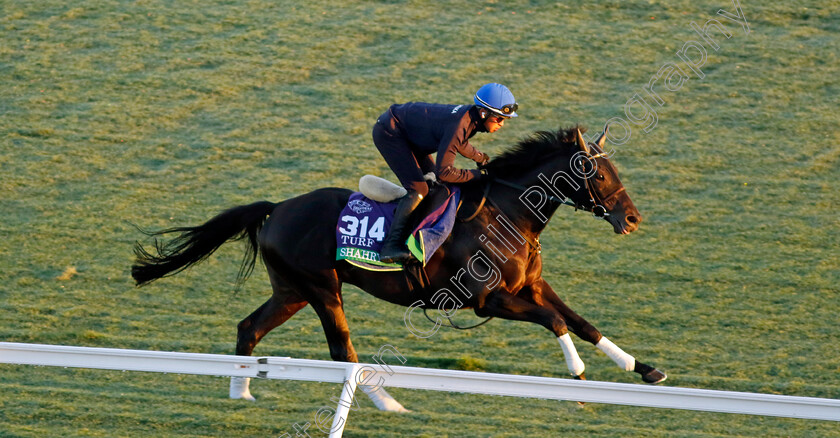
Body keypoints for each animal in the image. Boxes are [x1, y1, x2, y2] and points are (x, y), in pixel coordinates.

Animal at [131, 126, 668, 410]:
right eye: (597, 172)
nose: (633, 219)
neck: (508, 212)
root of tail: (278, 206)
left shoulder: (532, 285)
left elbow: (582, 321)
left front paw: (642, 368)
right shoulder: (486, 299)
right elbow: (557, 321)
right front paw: (577, 379)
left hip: (291, 290)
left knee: (249, 328)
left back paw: (241, 393)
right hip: (322, 289)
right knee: (342, 351)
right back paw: (388, 403)